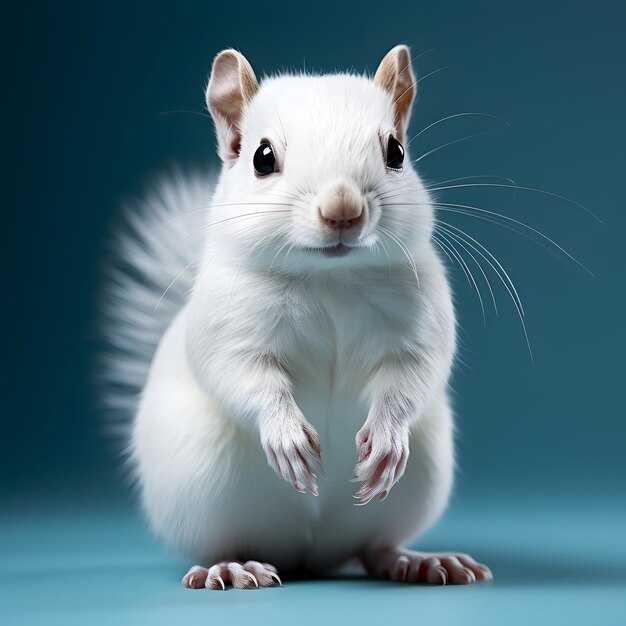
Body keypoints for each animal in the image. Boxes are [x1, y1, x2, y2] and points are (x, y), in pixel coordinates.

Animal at [103, 46, 492, 588]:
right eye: (262, 158)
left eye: (396, 151)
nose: (342, 209)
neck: (330, 277)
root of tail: (313, 554)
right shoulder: (227, 326)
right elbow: (242, 376)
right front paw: (287, 436)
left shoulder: (420, 320)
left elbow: (413, 374)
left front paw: (387, 439)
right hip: (202, 489)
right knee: (228, 540)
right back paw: (233, 566)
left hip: (419, 480)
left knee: (374, 546)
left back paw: (419, 560)